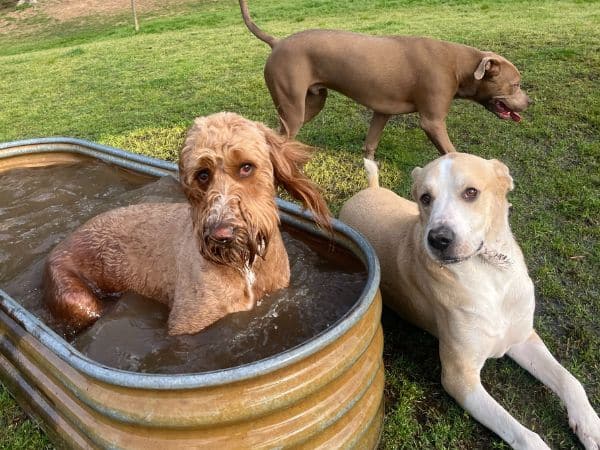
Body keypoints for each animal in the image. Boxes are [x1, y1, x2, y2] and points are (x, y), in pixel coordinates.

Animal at [44, 112, 330, 336]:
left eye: (246, 167)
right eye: (202, 175)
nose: (221, 234)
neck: (243, 266)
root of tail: (59, 246)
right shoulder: (186, 326)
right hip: (77, 298)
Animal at [239, 0, 528, 159]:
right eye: (515, 84)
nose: (530, 102)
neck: (458, 65)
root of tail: (277, 42)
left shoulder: (382, 111)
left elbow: (370, 145)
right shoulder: (432, 122)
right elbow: (452, 152)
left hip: (312, 103)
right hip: (294, 110)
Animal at [340, 153, 600, 448]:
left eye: (471, 192)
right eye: (426, 197)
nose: (439, 239)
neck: (490, 271)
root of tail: (366, 191)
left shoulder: (523, 338)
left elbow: (570, 381)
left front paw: (590, 426)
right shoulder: (459, 379)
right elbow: (523, 433)